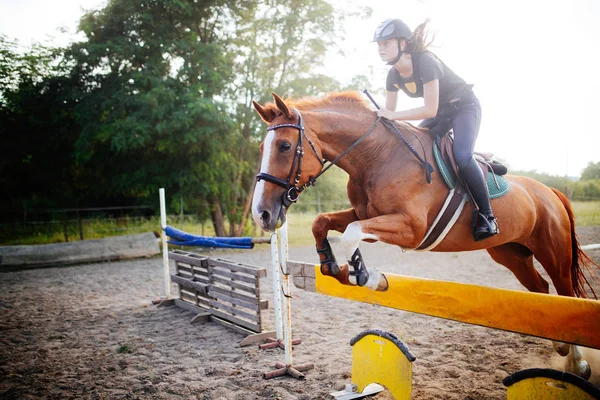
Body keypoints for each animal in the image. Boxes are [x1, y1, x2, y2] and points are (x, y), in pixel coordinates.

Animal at [251, 90, 600, 378]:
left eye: (284, 146)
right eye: (262, 147)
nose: (262, 213)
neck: (377, 155)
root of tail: (550, 192)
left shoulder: (410, 228)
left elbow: (351, 233)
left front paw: (368, 276)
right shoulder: (366, 214)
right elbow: (322, 222)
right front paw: (331, 266)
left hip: (553, 252)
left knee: (567, 294)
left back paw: (578, 364)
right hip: (511, 254)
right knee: (541, 289)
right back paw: (559, 346)